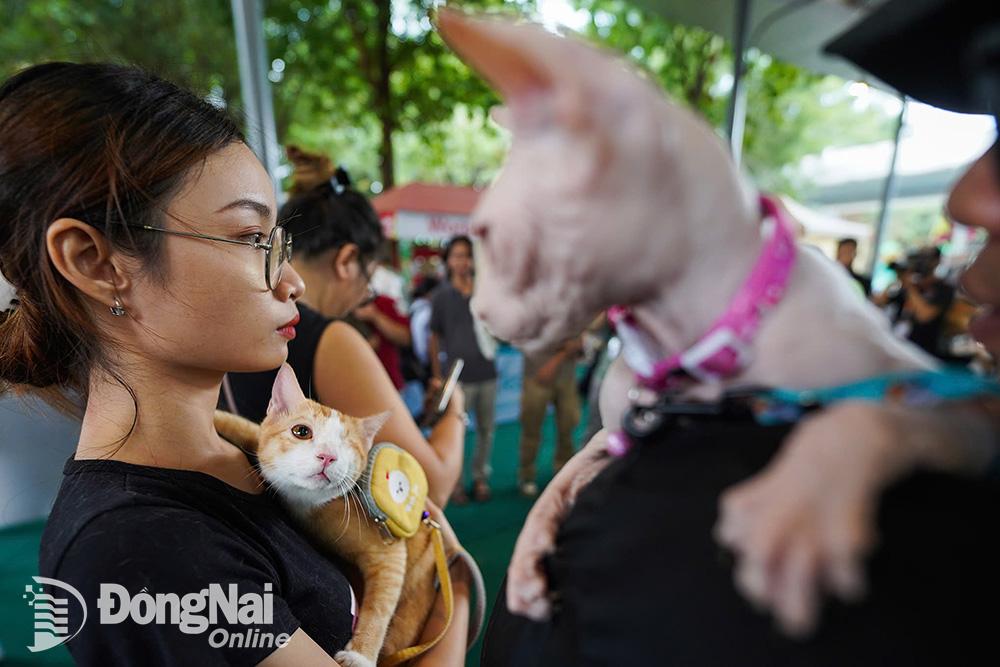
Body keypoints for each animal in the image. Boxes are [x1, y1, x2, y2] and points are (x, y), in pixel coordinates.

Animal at [217, 366, 444, 667]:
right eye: (301, 431)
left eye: (347, 445)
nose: (328, 456)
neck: (304, 501)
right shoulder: (258, 435)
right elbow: (247, 428)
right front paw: (216, 418)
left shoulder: (391, 552)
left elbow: (380, 606)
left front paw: (360, 655)